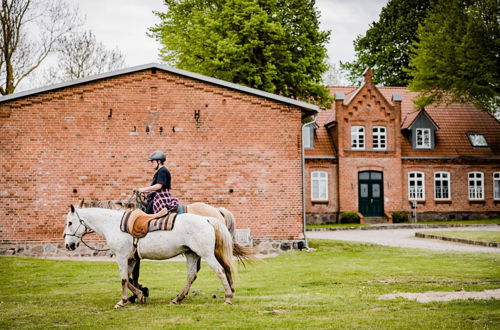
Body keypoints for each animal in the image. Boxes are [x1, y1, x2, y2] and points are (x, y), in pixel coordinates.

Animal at [64, 206, 236, 306]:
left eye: (70, 223)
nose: (68, 245)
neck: (113, 225)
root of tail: (206, 219)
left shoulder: (122, 257)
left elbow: (124, 279)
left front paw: (123, 301)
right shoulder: (132, 259)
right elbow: (130, 279)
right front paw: (140, 295)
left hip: (206, 254)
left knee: (220, 271)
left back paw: (228, 297)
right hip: (191, 254)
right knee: (191, 276)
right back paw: (177, 299)